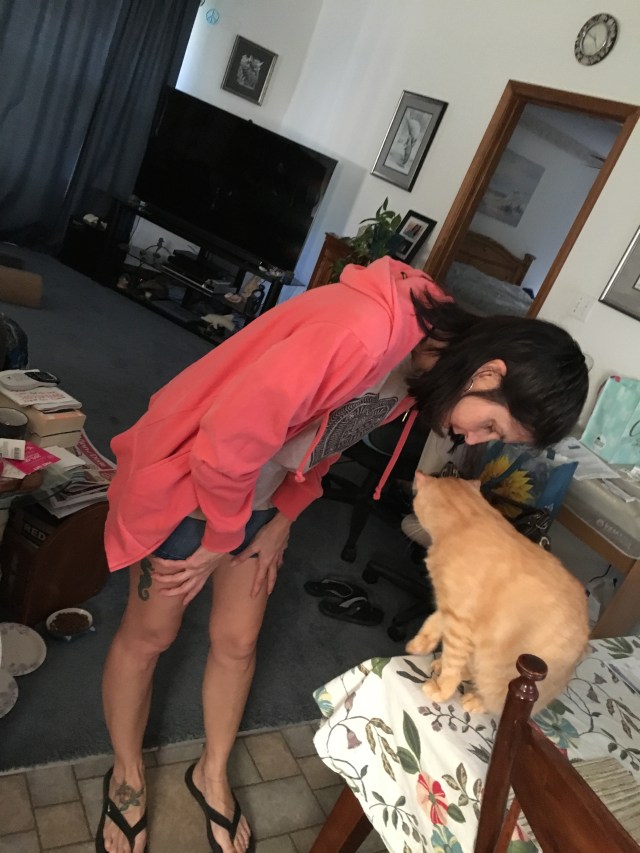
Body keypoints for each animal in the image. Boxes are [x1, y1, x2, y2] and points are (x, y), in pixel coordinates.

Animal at [405, 472, 589, 714]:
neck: (469, 520)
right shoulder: (449, 607)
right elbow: (432, 624)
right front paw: (420, 645)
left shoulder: (459, 624)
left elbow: (452, 663)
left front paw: (442, 689)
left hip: (500, 671)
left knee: (495, 699)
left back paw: (474, 700)